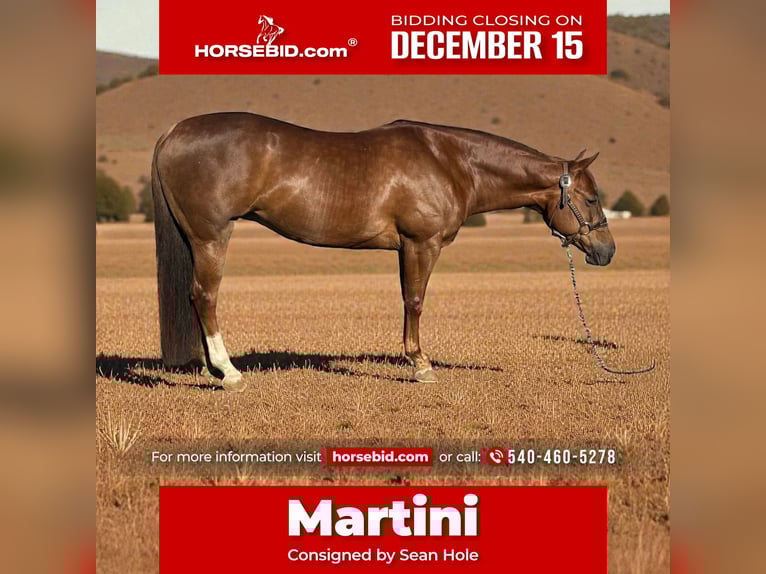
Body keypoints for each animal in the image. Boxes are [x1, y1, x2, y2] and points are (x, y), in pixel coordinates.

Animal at [151, 113, 614, 392]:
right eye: (591, 199)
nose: (607, 251)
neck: (451, 162)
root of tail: (174, 131)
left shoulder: (405, 248)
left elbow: (407, 299)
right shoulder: (421, 244)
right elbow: (415, 301)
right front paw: (421, 365)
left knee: (197, 298)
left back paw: (212, 368)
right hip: (212, 237)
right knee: (205, 296)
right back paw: (229, 373)